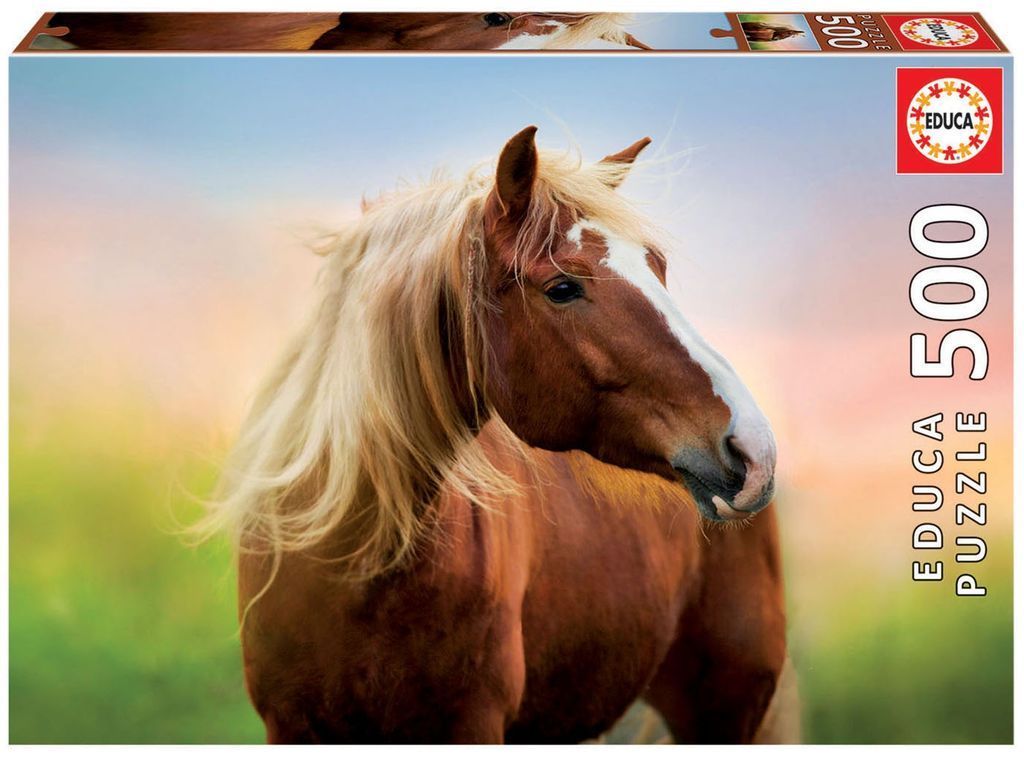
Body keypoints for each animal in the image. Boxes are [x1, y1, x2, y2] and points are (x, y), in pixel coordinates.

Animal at [205, 126, 791, 743]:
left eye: (657, 267)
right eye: (562, 288)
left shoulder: (473, 721)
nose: (753, 448)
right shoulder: (290, 723)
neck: (355, 566)